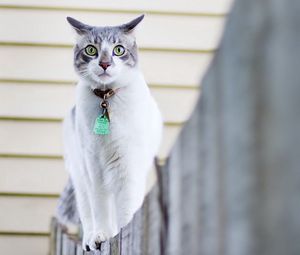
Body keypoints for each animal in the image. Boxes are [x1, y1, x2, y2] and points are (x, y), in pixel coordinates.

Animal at [57, 14, 163, 251]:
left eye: (118, 50)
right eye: (91, 50)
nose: (105, 64)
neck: (106, 99)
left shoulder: (128, 166)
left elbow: (126, 209)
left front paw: (122, 235)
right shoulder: (94, 167)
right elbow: (100, 209)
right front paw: (101, 237)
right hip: (80, 176)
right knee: (87, 212)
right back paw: (89, 240)